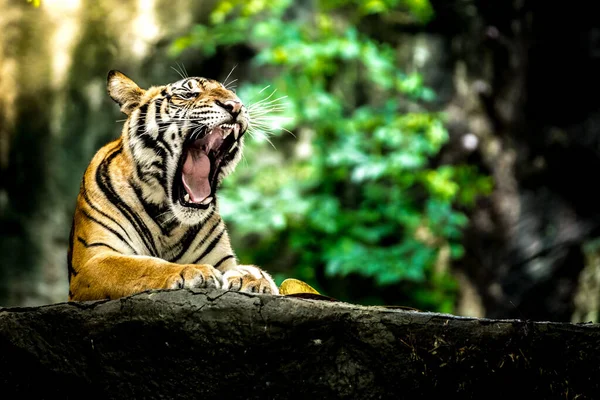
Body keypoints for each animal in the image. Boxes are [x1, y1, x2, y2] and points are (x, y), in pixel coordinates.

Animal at [67, 71, 278, 300]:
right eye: (188, 94)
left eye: (232, 94)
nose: (235, 105)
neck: (169, 222)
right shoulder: (93, 261)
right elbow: (142, 265)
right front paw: (192, 270)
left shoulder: (221, 259)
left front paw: (254, 279)